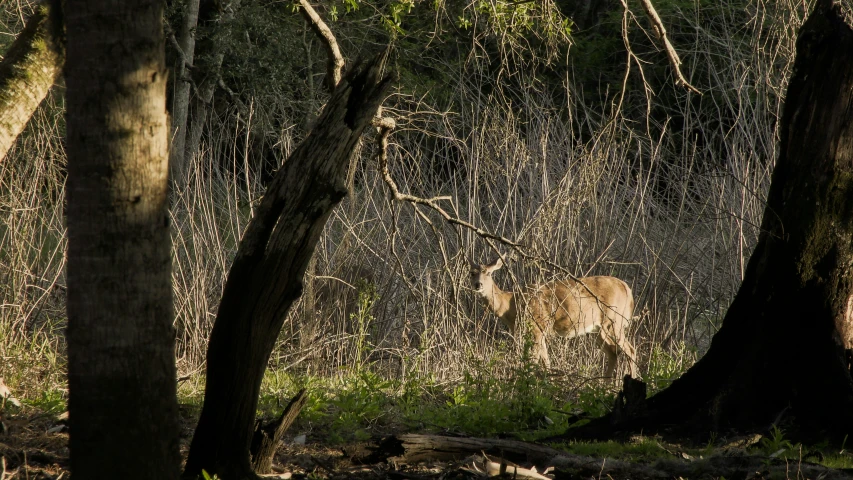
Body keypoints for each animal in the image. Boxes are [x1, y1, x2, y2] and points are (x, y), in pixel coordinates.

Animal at [466, 258, 640, 378]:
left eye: (488, 273)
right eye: (472, 273)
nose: (478, 285)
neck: (511, 306)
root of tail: (627, 289)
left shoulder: (536, 326)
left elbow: (534, 361)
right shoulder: (541, 332)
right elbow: (546, 362)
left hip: (614, 321)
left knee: (630, 350)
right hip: (598, 329)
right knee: (613, 352)